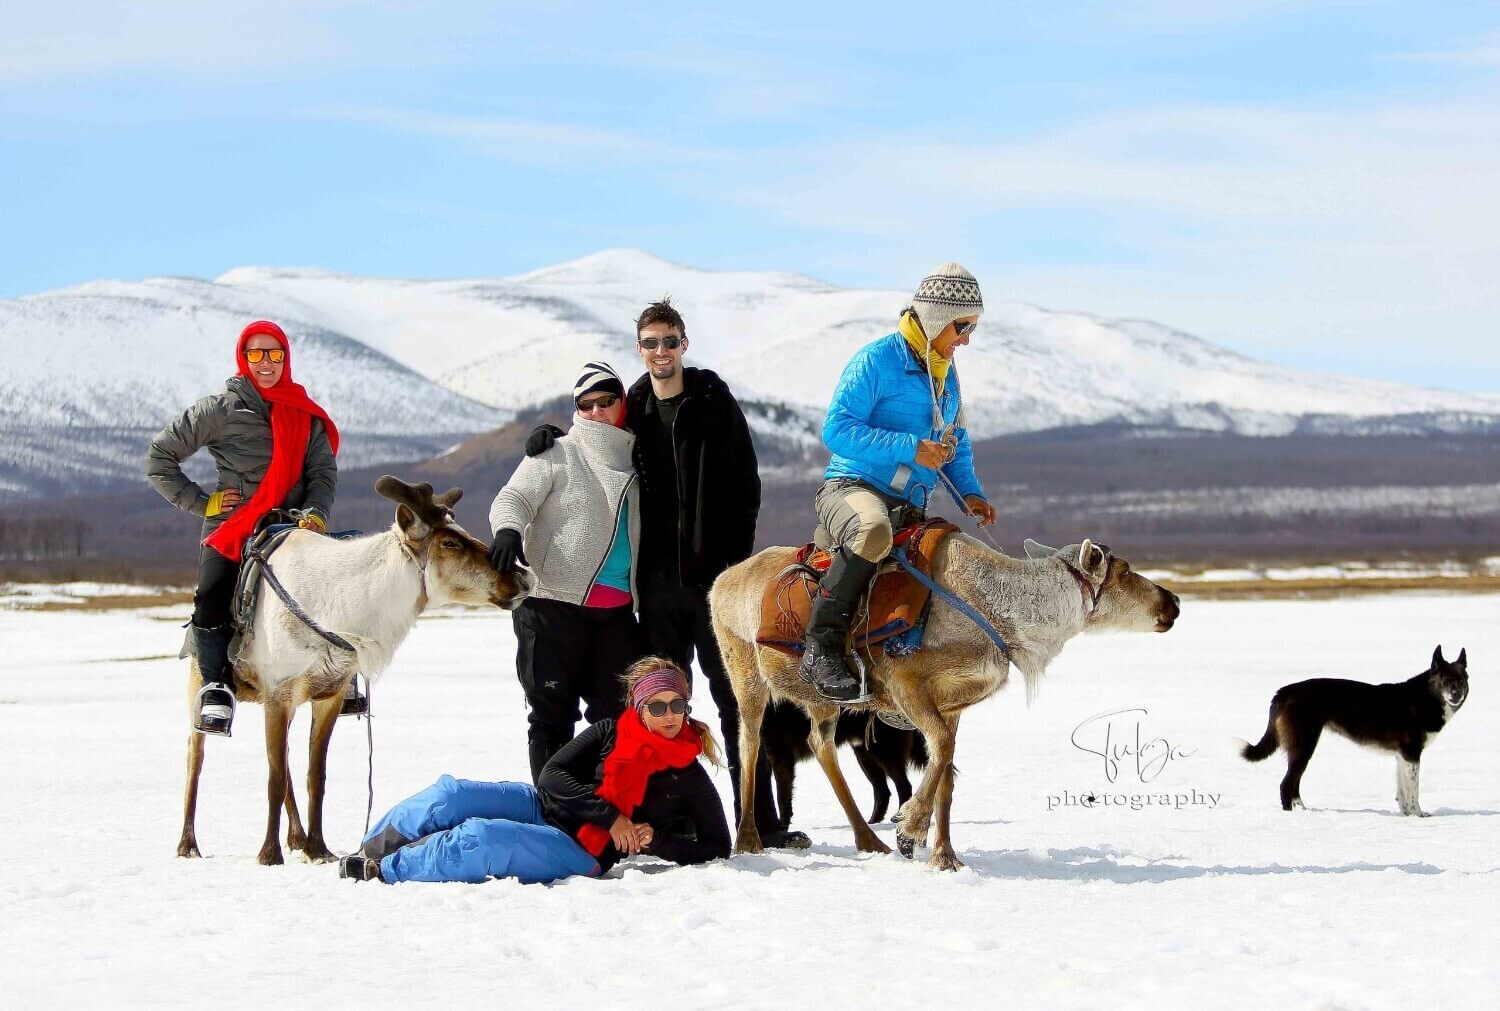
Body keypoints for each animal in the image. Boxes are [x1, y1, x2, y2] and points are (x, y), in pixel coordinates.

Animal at [762, 702, 924, 828]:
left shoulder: (781, 757)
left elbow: (782, 798)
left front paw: (783, 826)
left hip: (884, 754)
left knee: (903, 786)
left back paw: (898, 819)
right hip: (865, 756)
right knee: (883, 791)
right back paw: (872, 822)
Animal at [1242, 642, 1464, 816]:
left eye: (1462, 680)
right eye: (1445, 680)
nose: (1456, 694)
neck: (1425, 697)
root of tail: (1283, 692)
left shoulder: (1402, 757)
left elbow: (1402, 791)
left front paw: (1407, 815)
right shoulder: (1411, 754)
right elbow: (1413, 792)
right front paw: (1418, 816)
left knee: (1293, 784)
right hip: (1304, 746)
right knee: (1286, 785)